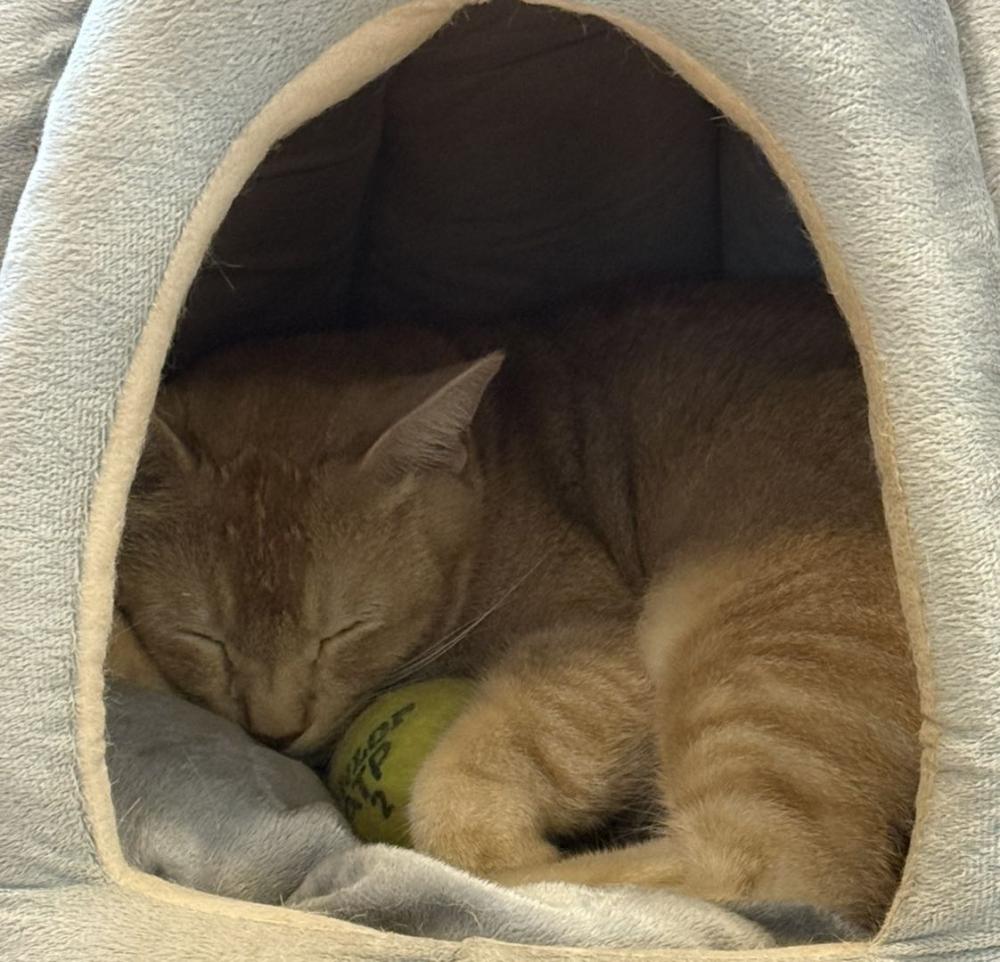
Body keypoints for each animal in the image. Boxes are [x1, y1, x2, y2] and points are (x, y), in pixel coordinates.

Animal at [111, 281, 920, 931]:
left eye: (344, 632)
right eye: (203, 637)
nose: (275, 731)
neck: (492, 484)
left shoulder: (593, 638)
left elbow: (473, 779)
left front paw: (481, 839)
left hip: (743, 641)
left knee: (776, 873)